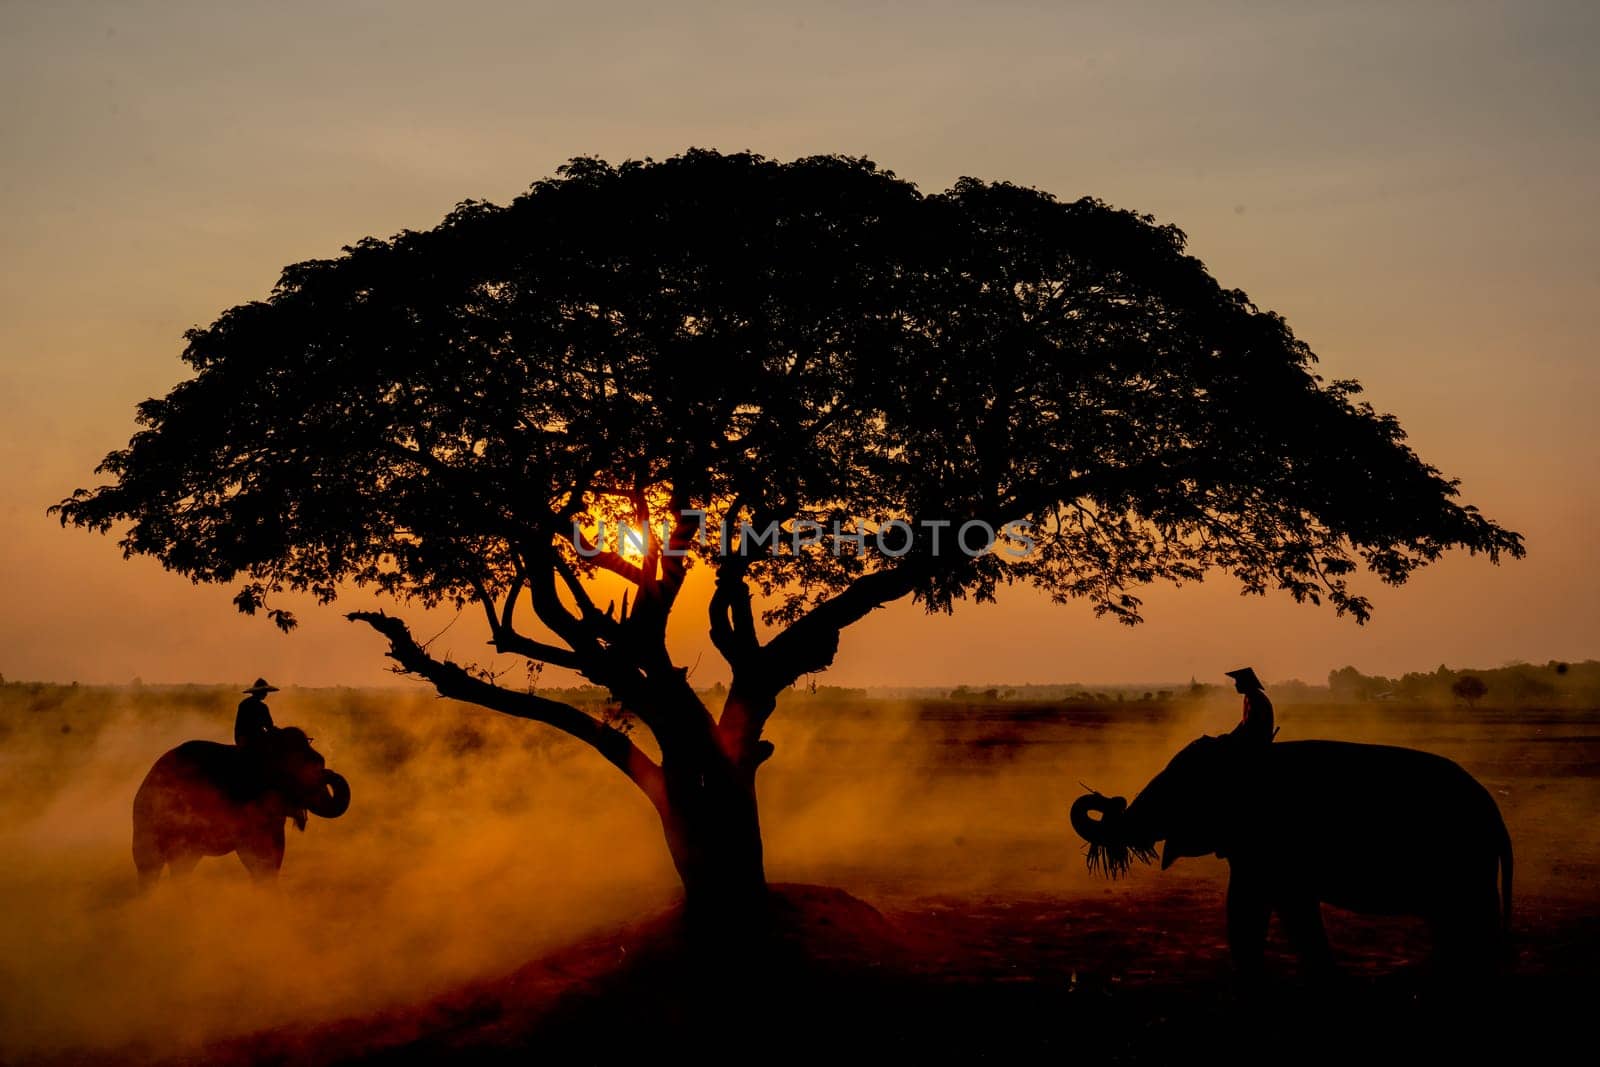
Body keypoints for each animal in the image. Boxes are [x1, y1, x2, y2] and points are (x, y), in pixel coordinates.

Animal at [1075, 739, 1510, 979]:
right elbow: (1251, 906)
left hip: (1464, 863)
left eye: (1177, 790)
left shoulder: (1273, 843)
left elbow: (1272, 906)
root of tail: (1496, 816)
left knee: (1471, 923)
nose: (1109, 799)